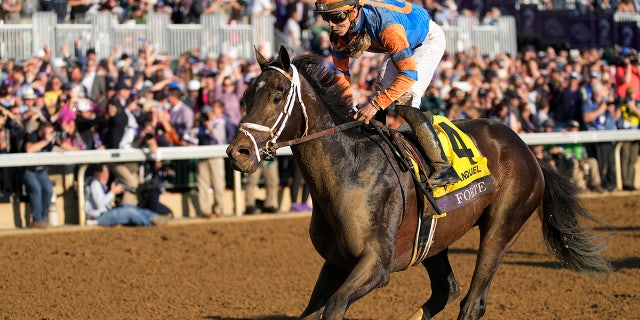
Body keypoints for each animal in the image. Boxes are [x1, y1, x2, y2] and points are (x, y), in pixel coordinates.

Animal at [225, 47, 608, 320]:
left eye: (277, 96)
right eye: (246, 96)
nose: (238, 152)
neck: (348, 171)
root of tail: (526, 149)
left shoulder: (376, 264)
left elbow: (333, 307)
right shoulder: (335, 262)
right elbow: (312, 311)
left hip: (503, 226)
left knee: (472, 302)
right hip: (434, 239)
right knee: (447, 290)